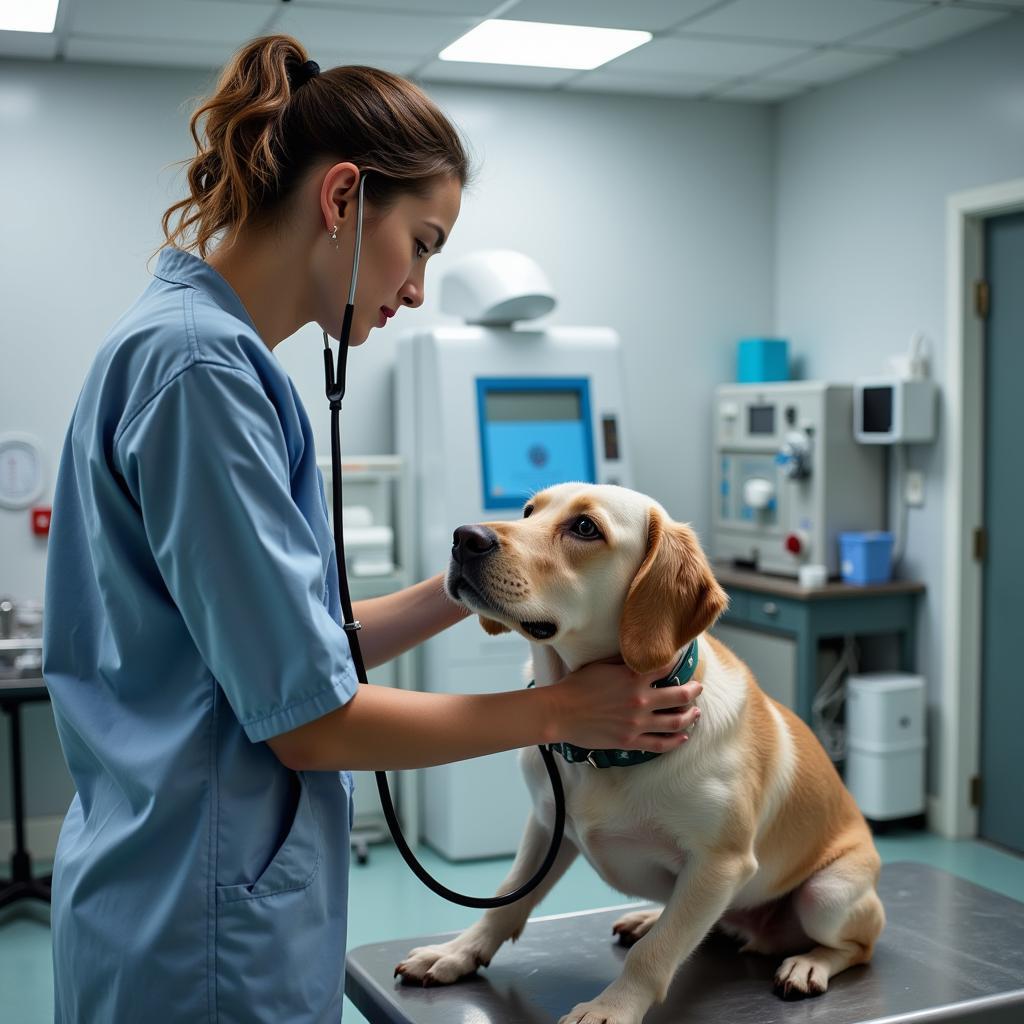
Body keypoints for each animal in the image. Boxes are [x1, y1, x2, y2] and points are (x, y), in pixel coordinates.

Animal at [395, 481, 884, 1024]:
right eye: (527, 511)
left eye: (585, 527)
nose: (465, 537)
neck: (599, 752)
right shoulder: (546, 824)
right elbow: (505, 899)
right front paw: (458, 952)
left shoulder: (721, 863)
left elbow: (656, 954)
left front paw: (612, 1007)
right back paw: (650, 918)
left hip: (827, 895)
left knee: (856, 947)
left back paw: (807, 964)